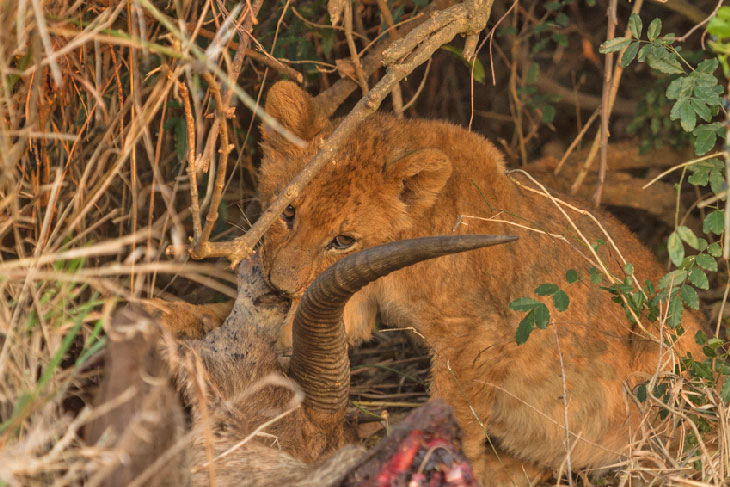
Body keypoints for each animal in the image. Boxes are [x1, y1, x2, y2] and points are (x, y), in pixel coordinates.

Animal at [257, 81, 705, 486]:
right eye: (289, 213)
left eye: (343, 240)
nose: (279, 285)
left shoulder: (477, 335)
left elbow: (457, 411)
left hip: (663, 358)